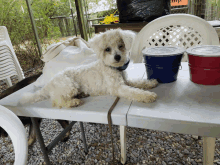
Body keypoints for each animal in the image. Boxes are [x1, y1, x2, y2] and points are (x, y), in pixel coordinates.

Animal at [19, 28, 158, 108]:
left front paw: (150, 83)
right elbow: (134, 92)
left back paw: (81, 95)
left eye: (121, 45)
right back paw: (73, 102)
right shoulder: (118, 88)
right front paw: (148, 96)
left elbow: (138, 82)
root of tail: (50, 83)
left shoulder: (126, 81)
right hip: (69, 85)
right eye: (107, 49)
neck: (112, 68)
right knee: (57, 101)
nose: (118, 57)